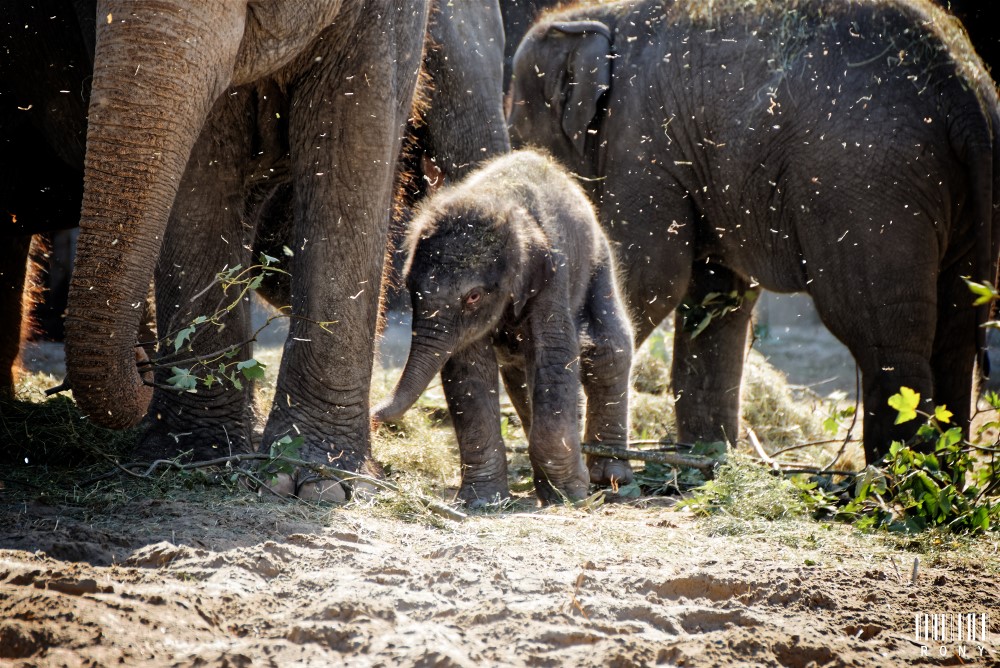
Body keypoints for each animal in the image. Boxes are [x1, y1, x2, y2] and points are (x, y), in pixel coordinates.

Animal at [376, 150, 632, 506]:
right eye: (409, 288)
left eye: (473, 296)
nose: (372, 413)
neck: (497, 202)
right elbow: (468, 369)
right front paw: (481, 500)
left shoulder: (551, 276)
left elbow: (556, 355)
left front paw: (570, 495)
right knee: (520, 370)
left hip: (598, 257)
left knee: (607, 348)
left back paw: (608, 476)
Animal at [512, 0, 1000, 462]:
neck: (594, 14)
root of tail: (964, 90)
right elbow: (716, 297)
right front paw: (706, 458)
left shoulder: (639, 142)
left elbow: (651, 275)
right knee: (956, 333)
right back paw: (937, 472)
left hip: (868, 188)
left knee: (882, 334)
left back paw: (891, 477)